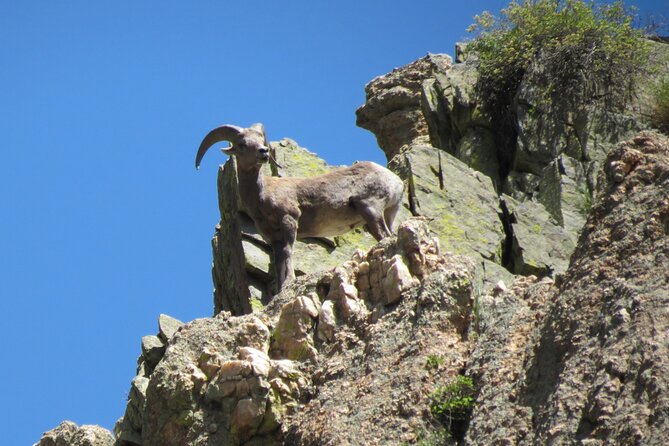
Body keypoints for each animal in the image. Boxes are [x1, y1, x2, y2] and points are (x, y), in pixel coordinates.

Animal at [193, 123, 402, 292]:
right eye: (242, 144)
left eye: (260, 140)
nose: (263, 152)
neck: (262, 194)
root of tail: (395, 181)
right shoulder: (274, 237)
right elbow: (278, 261)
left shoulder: (289, 220)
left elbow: (288, 252)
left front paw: (288, 282)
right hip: (381, 216)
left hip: (370, 209)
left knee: (385, 235)